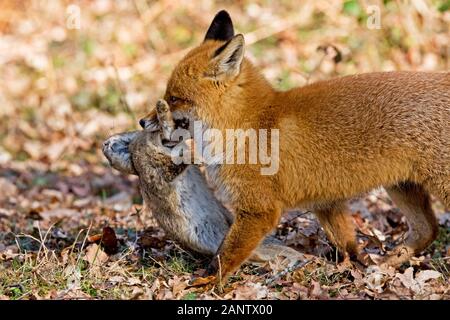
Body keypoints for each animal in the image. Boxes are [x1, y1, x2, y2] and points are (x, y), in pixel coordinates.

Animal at [139, 10, 448, 280]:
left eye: (174, 98)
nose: (142, 122)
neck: (249, 124)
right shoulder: (327, 203)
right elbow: (348, 247)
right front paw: (355, 270)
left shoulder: (259, 210)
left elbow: (225, 254)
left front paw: (207, 283)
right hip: (402, 186)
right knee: (428, 230)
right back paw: (389, 263)